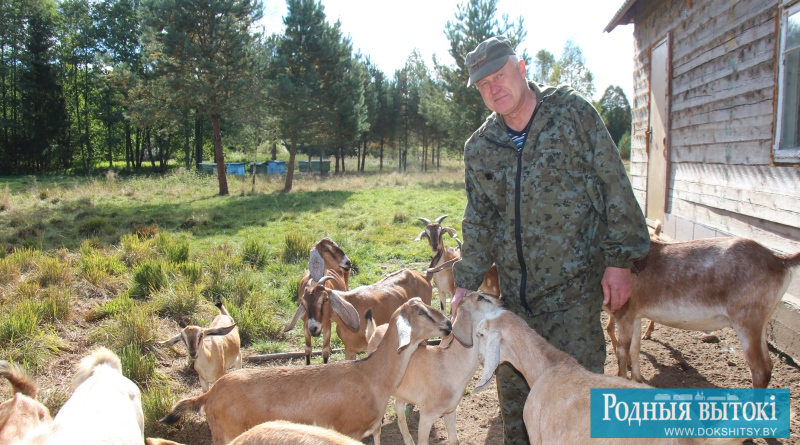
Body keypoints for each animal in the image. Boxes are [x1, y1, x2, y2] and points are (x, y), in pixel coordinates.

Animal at [159, 296, 454, 445]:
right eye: (421, 313)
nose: (448, 325)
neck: (371, 375)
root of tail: (209, 395)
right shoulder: (349, 431)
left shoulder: (372, 430)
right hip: (226, 436)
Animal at [368, 290, 504, 442]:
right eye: (480, 298)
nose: (502, 301)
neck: (447, 363)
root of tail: (377, 330)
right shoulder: (427, 415)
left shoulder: (450, 411)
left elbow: (454, 440)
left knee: (398, 408)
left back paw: (408, 440)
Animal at [608, 238, 800, 386]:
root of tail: (780, 260)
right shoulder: (636, 314)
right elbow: (635, 349)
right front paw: (637, 380)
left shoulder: (623, 313)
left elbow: (622, 353)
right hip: (762, 321)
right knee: (769, 364)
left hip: (747, 320)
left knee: (760, 370)